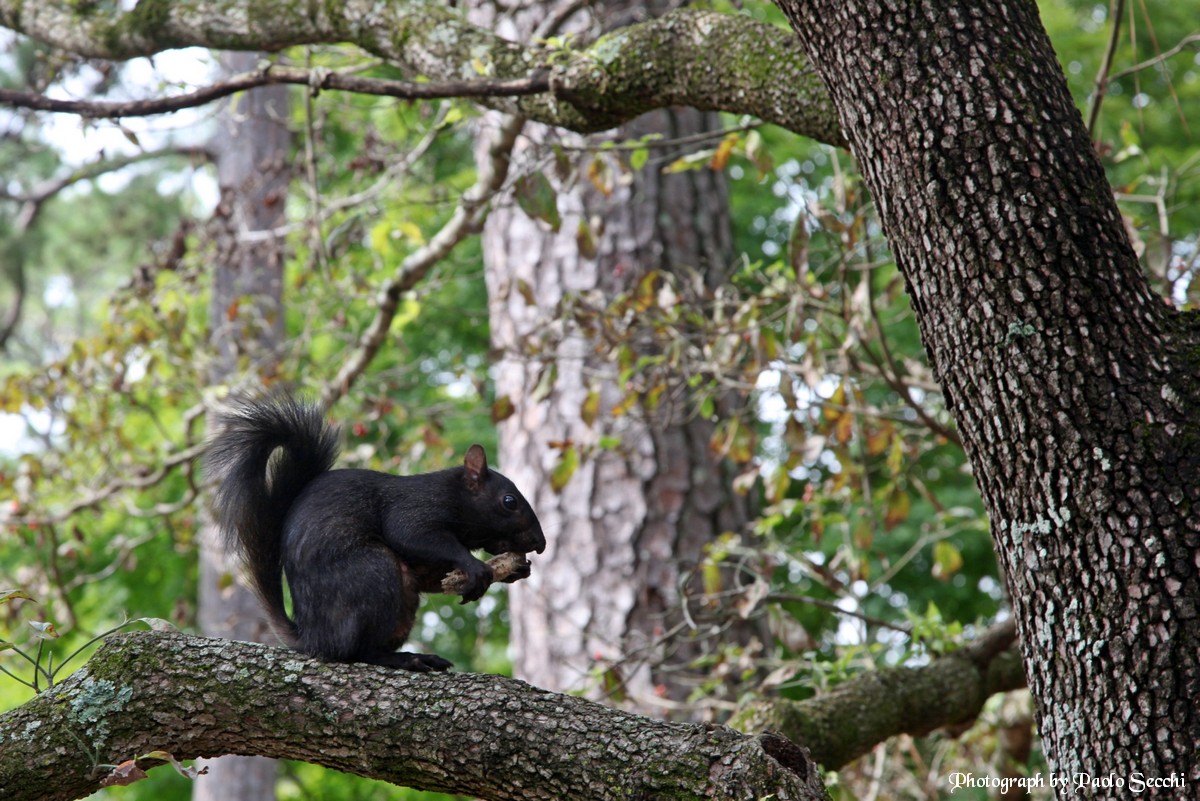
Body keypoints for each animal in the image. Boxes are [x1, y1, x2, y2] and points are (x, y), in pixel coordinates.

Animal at [205, 394, 545, 672]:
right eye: (509, 501)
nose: (540, 544)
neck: (453, 496)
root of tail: (314, 637)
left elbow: (434, 577)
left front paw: (516, 570)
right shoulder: (414, 510)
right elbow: (412, 535)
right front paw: (474, 566)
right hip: (374, 572)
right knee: (357, 652)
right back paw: (406, 659)